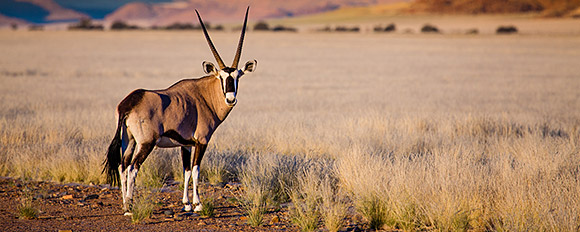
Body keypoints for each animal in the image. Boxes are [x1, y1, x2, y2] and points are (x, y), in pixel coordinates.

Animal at [103, 7, 258, 215]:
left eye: (237, 77)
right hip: (146, 143)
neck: (204, 95)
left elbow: (186, 171)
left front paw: (186, 203)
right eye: (221, 77)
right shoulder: (201, 141)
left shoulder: (186, 144)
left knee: (123, 165)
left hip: (129, 140)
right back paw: (129, 207)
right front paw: (198, 204)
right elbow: (196, 170)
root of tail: (129, 103)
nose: (230, 99)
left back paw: (124, 204)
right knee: (133, 167)